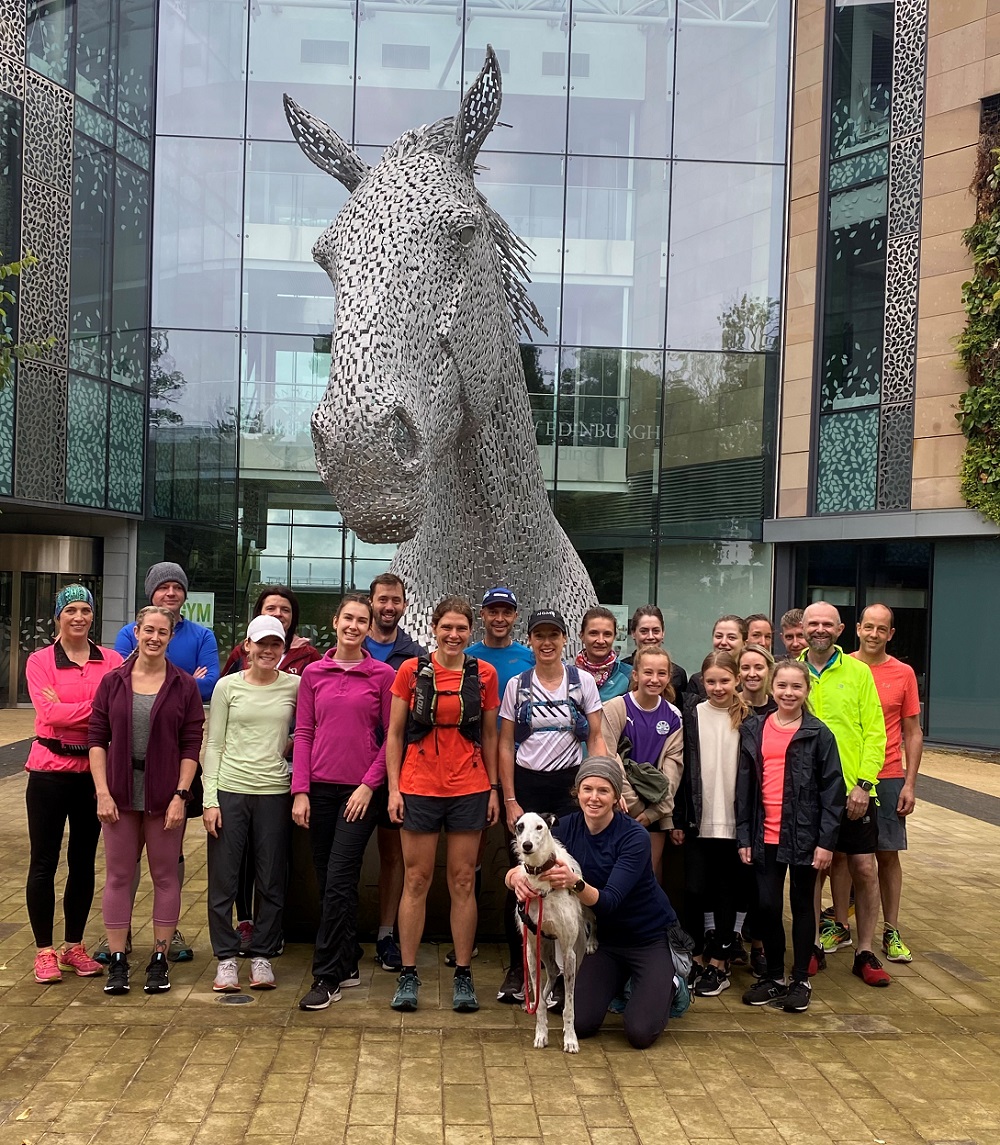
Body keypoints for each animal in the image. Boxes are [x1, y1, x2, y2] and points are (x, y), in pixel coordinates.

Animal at [515, 810, 591, 1048]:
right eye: (520, 826)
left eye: (540, 826)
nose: (527, 845)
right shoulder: (530, 951)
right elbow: (538, 1002)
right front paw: (541, 1034)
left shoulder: (568, 953)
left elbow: (569, 1006)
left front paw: (570, 1039)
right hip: (545, 947)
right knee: (552, 973)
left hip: (576, 953)